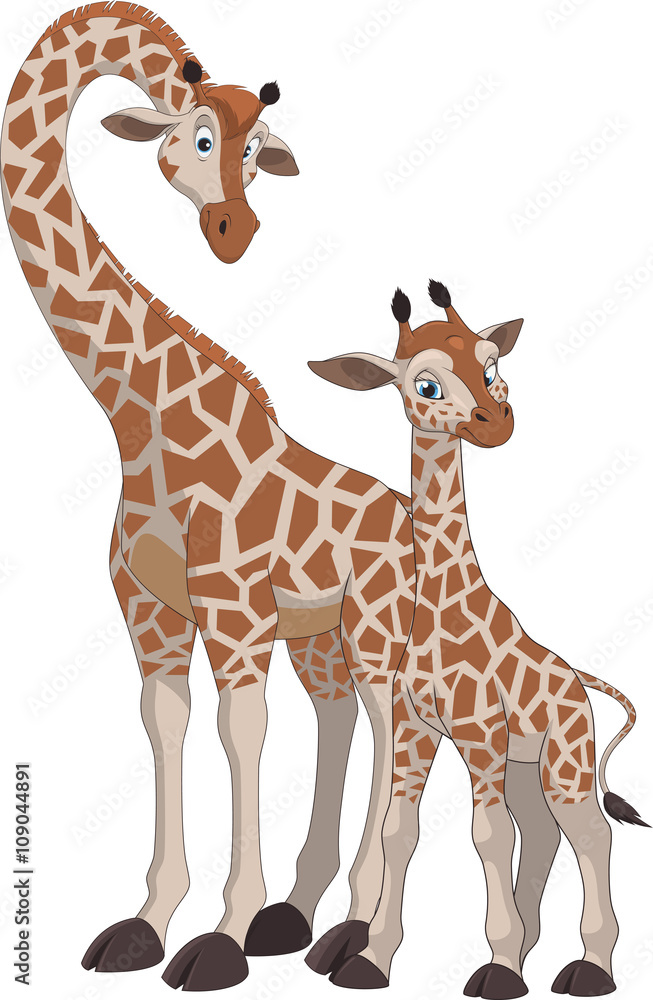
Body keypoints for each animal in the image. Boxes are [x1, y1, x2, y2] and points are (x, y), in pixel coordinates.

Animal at [2, 5, 416, 990]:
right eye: (197, 137)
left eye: (259, 148)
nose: (234, 230)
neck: (140, 422)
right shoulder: (151, 610)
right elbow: (167, 726)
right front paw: (146, 925)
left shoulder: (232, 611)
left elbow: (242, 731)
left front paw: (219, 939)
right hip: (320, 635)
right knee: (338, 716)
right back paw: (298, 918)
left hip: (377, 628)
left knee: (388, 727)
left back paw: (354, 932)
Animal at [307, 280, 648, 997]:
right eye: (426, 385)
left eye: (490, 366)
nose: (497, 420)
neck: (435, 608)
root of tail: (581, 682)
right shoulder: (417, 729)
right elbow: (399, 831)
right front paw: (372, 961)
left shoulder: (480, 733)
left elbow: (486, 835)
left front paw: (496, 968)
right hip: (527, 766)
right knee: (545, 833)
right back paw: (541, 955)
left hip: (567, 759)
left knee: (591, 833)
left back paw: (590, 968)